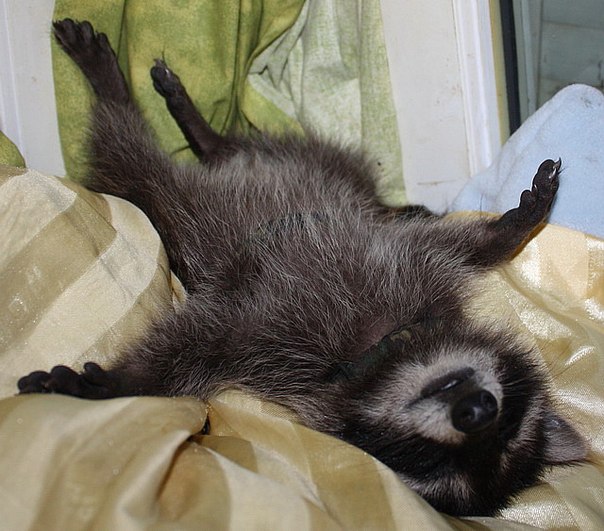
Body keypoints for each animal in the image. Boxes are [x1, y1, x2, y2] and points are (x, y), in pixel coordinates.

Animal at [17, 19, 587, 516]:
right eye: (508, 419)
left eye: (427, 460)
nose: (478, 412)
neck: (384, 347)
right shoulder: (396, 266)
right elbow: (461, 244)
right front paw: (512, 227)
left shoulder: (253, 334)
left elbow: (182, 351)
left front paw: (120, 382)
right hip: (314, 172)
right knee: (174, 158)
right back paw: (168, 113)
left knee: (130, 157)